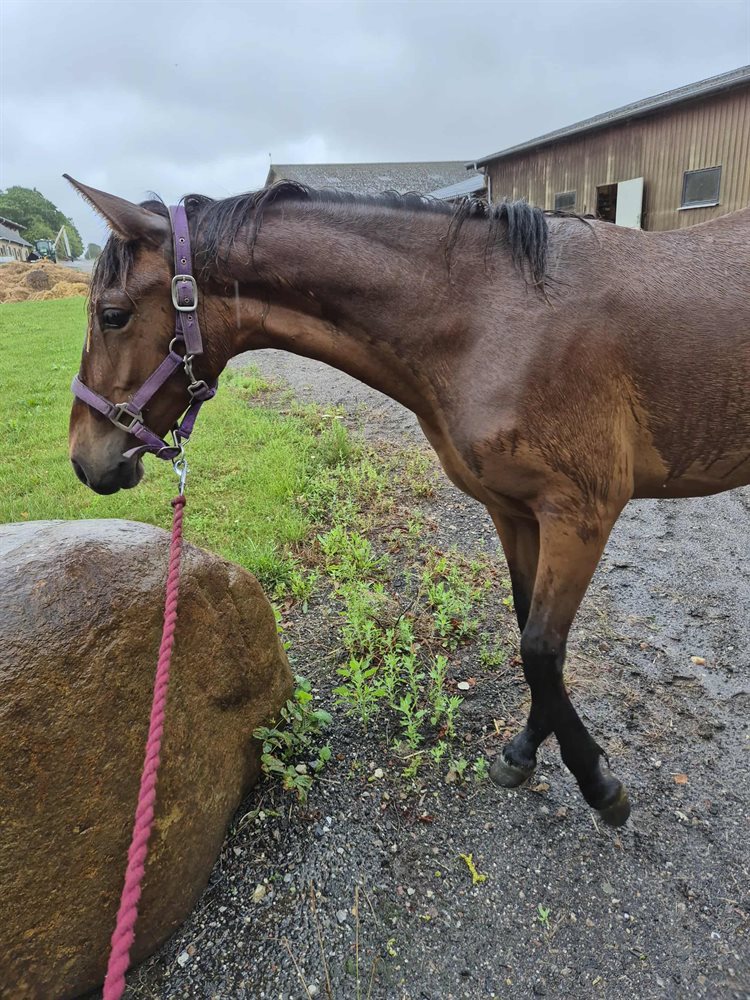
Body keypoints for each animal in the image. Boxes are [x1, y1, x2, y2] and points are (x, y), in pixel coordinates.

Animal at [65, 175, 750, 827]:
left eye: (113, 315)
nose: (83, 458)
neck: (501, 317)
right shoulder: (514, 512)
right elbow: (530, 632)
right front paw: (524, 753)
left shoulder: (580, 514)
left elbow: (540, 648)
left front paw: (598, 784)